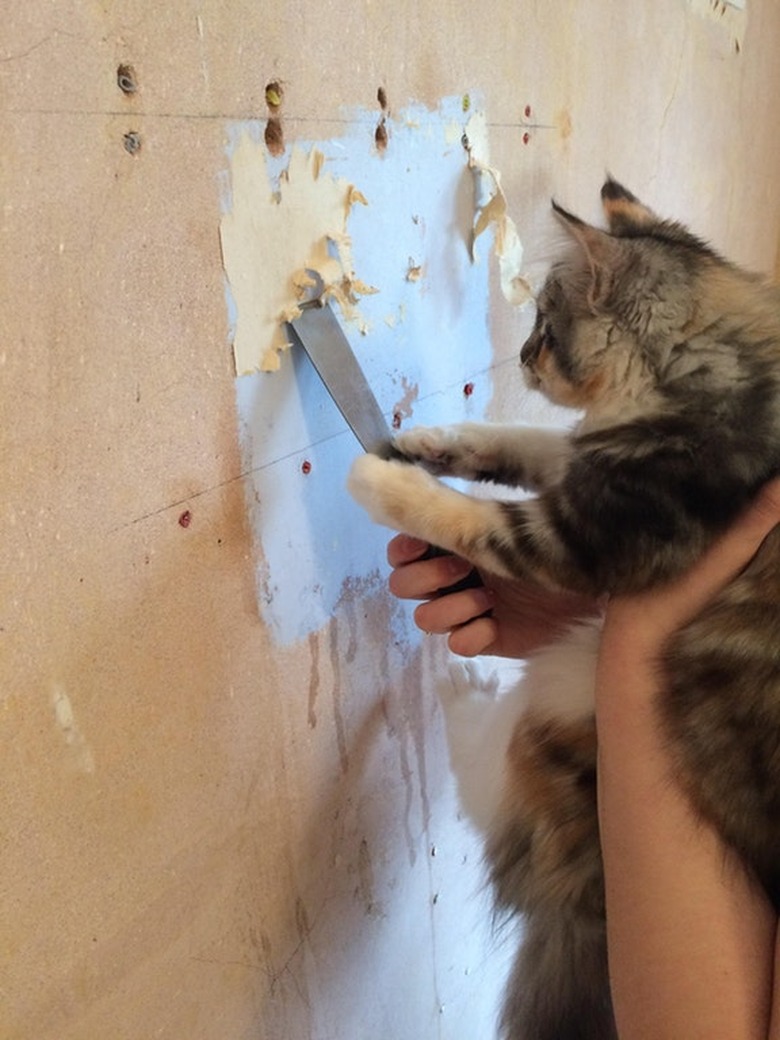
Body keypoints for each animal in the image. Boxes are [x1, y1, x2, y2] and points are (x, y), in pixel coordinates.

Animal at [347, 180, 780, 1040]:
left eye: (545, 329)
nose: (517, 356)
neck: (714, 371)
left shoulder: (592, 531)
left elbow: (469, 518)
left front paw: (385, 480)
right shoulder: (588, 467)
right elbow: (525, 441)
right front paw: (436, 442)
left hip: (565, 689)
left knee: (497, 807)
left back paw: (459, 689)